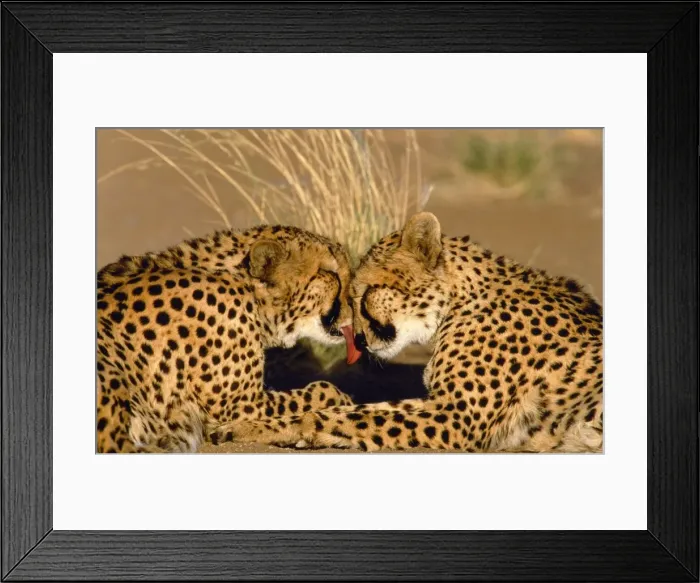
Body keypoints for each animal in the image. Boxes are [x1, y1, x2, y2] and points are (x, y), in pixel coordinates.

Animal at [213, 212, 603, 453]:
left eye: (366, 291)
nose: (359, 341)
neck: (460, 300)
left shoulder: (456, 416)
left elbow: (351, 417)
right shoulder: (440, 402)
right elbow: (361, 410)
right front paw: (251, 426)